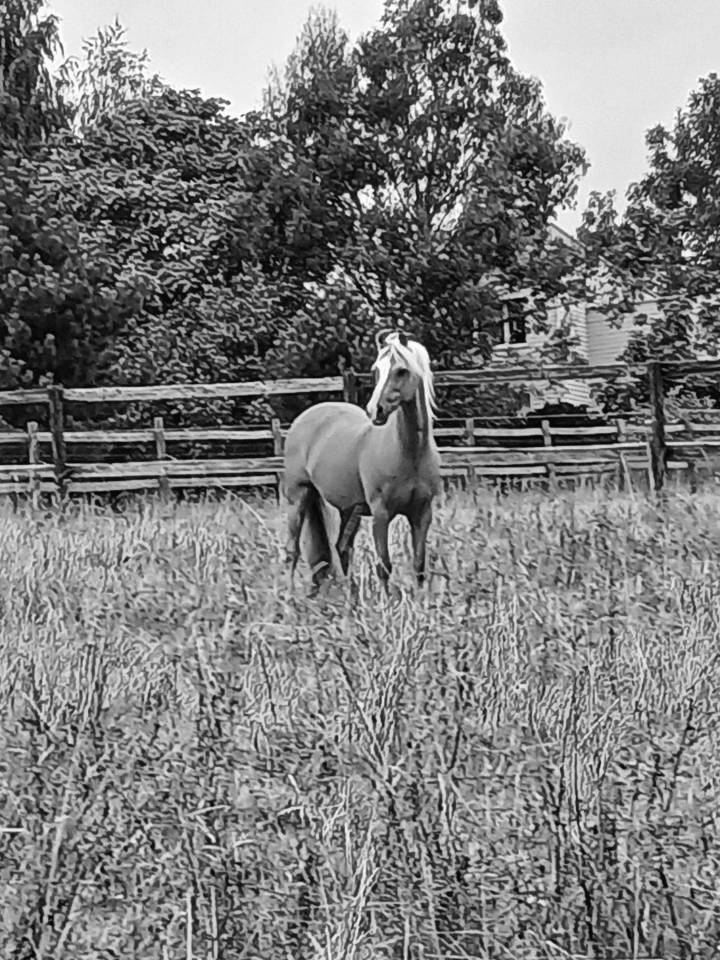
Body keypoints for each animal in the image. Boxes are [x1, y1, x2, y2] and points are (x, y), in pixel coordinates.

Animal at [282, 331, 442, 593]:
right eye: (376, 370)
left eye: (401, 371)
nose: (375, 410)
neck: (409, 454)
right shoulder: (380, 513)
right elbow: (384, 565)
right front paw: (387, 602)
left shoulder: (422, 513)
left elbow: (419, 564)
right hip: (298, 498)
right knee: (291, 551)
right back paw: (287, 596)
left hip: (349, 509)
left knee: (341, 548)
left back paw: (351, 595)